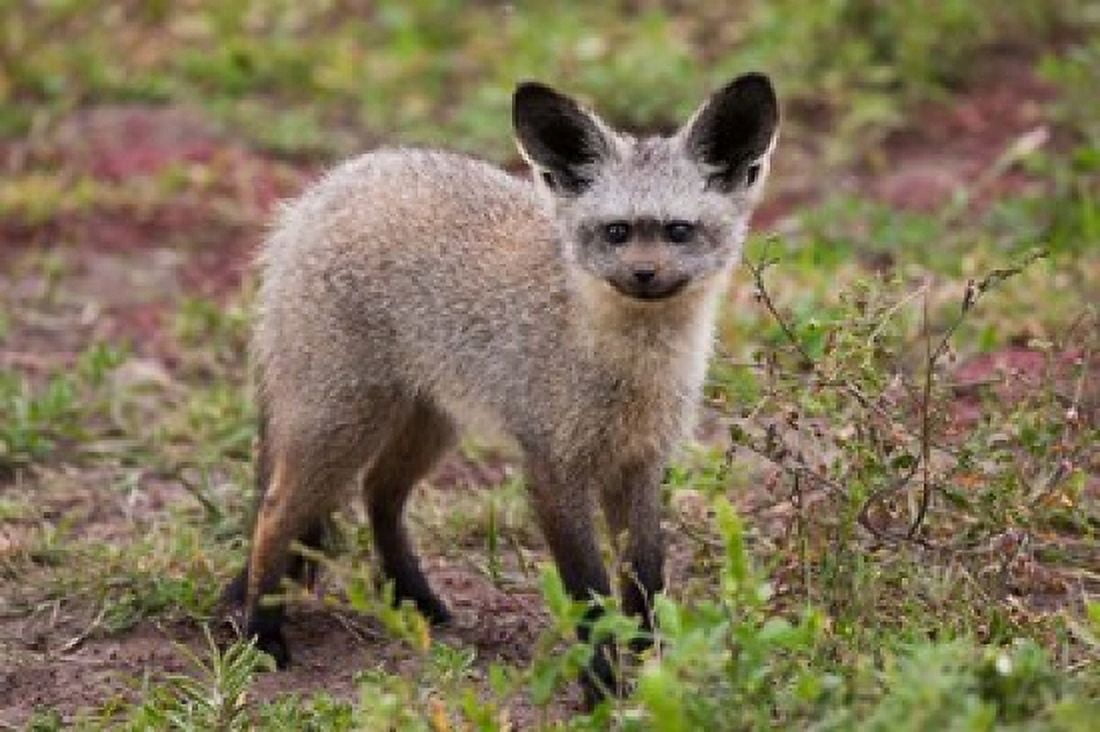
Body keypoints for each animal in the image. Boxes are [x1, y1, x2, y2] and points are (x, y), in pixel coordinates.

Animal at [223, 72, 779, 704]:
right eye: (616, 232)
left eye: (678, 231)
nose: (643, 275)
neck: (629, 374)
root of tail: (318, 193)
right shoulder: (553, 467)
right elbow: (590, 595)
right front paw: (602, 687)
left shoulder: (640, 463)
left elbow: (644, 580)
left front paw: (654, 668)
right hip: (339, 424)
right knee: (275, 514)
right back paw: (262, 634)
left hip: (429, 424)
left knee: (378, 495)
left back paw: (416, 599)